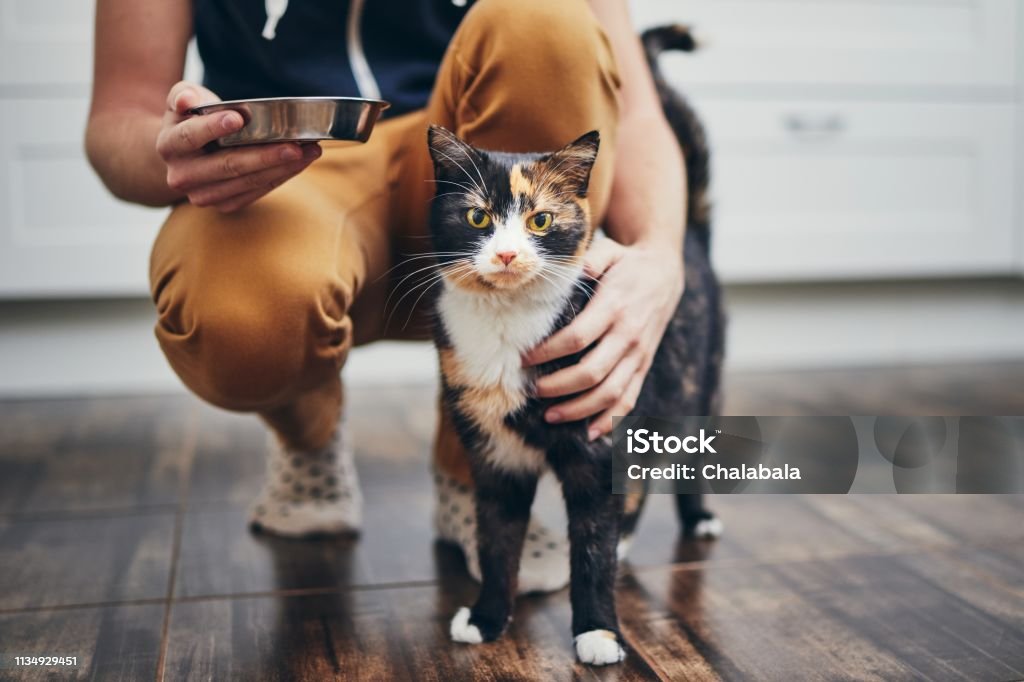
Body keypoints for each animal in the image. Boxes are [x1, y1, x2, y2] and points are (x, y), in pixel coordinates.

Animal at [428, 23, 724, 659]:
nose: (507, 254)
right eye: (477, 218)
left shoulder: (598, 442)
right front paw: (487, 618)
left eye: (539, 220)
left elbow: (590, 547)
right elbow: (496, 542)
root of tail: (688, 236)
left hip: (699, 385)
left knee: (683, 460)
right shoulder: (494, 457)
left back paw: (695, 519)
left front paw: (597, 632)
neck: (507, 323)